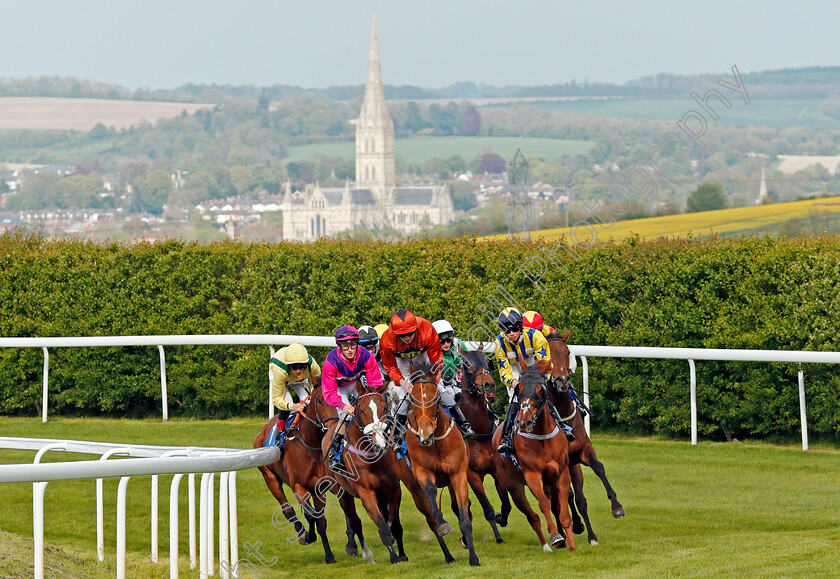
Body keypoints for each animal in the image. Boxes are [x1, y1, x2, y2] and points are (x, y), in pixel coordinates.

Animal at [253, 388, 370, 564]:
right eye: (320, 401)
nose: (333, 425)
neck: (311, 443)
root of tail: (262, 431)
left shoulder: (320, 487)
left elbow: (321, 520)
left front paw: (329, 555)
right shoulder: (299, 487)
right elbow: (310, 514)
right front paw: (309, 537)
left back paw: (350, 544)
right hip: (270, 478)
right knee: (287, 509)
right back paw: (301, 532)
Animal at [322, 382, 410, 564]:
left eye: (384, 407)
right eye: (361, 410)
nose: (379, 444)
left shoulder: (393, 489)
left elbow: (395, 526)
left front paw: (402, 555)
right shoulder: (366, 493)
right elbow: (383, 529)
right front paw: (393, 557)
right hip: (343, 493)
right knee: (356, 522)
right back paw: (367, 555)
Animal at [402, 358, 480, 568]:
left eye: (434, 397)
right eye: (412, 399)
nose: (425, 436)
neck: (436, 443)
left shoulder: (458, 474)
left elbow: (464, 517)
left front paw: (473, 557)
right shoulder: (422, 472)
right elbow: (430, 491)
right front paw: (443, 524)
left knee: (458, 508)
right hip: (414, 489)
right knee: (431, 520)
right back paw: (448, 555)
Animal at [488, 368, 576, 552]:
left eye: (541, 390)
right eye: (518, 389)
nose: (524, 422)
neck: (543, 436)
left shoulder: (561, 473)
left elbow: (563, 510)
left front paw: (571, 545)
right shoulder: (532, 475)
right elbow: (544, 503)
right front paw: (555, 536)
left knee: (554, 508)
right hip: (514, 486)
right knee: (533, 518)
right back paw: (546, 546)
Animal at [544, 330, 624, 544]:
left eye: (567, 352)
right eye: (547, 354)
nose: (562, 380)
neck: (563, 415)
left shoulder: (583, 451)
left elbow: (599, 468)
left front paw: (616, 507)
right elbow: (564, 497)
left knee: (575, 497)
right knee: (555, 499)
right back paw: (562, 533)